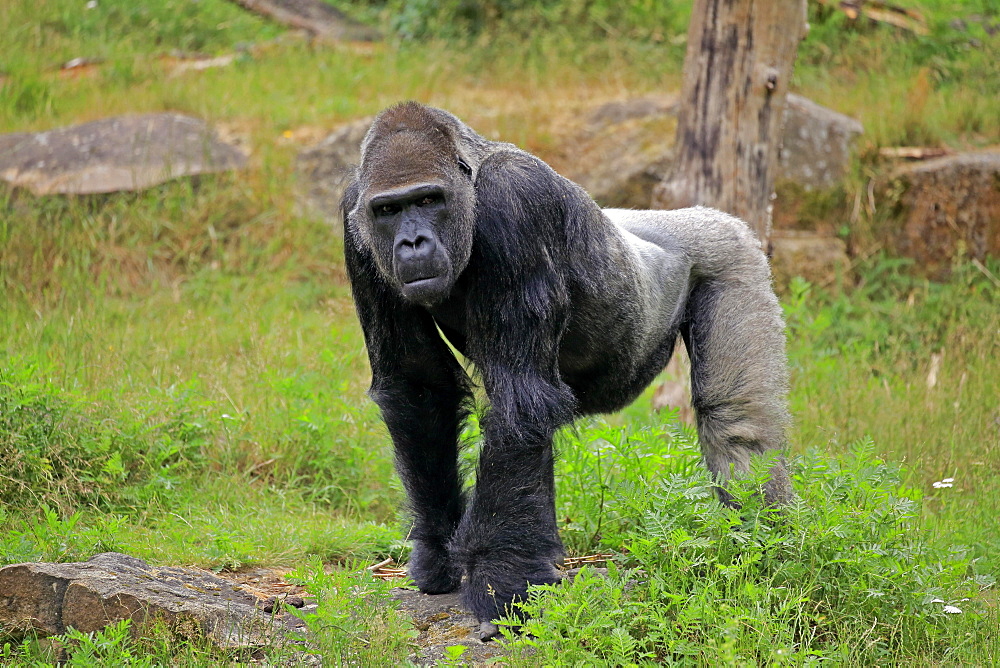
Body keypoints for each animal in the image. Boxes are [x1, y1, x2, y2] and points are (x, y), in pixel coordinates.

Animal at [340, 100, 792, 636]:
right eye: (388, 211)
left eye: (429, 200)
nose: (411, 242)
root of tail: (702, 216)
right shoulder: (355, 224)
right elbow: (420, 389)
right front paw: (437, 554)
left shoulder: (516, 203)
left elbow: (520, 402)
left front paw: (501, 582)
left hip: (731, 254)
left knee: (738, 422)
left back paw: (768, 550)